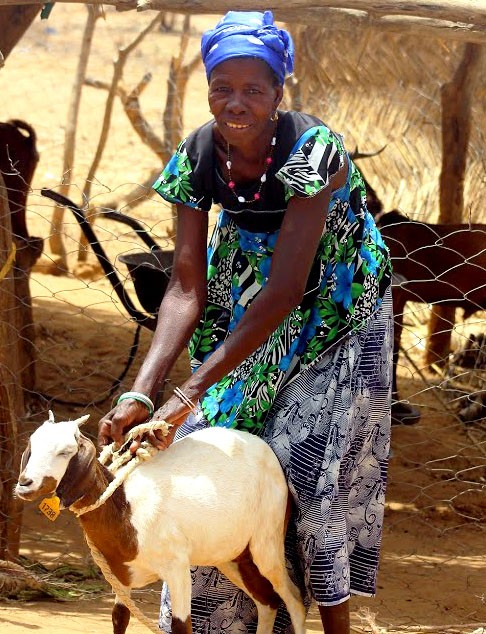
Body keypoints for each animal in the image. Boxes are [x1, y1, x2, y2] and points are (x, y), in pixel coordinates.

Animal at [15, 412, 306, 628]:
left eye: (65, 451)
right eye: (32, 445)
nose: (24, 483)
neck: (126, 508)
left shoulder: (177, 569)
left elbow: (181, 625)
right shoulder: (121, 578)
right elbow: (120, 618)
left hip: (267, 543)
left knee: (295, 601)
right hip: (233, 556)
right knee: (267, 602)